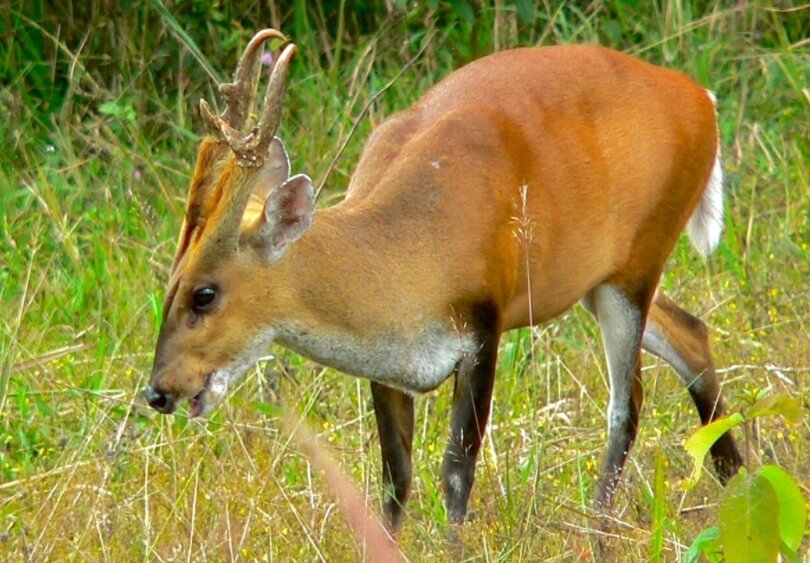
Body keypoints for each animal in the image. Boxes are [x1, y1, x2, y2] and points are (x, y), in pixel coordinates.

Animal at [144, 29, 740, 532]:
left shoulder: (483, 325)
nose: (158, 391)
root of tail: (703, 99)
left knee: (626, 404)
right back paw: (735, 479)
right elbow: (395, 478)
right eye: (168, 287)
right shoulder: (385, 363)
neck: (410, 253)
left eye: (205, 294)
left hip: (639, 260)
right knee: (692, 333)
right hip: (601, 277)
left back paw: (602, 527)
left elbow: (456, 470)